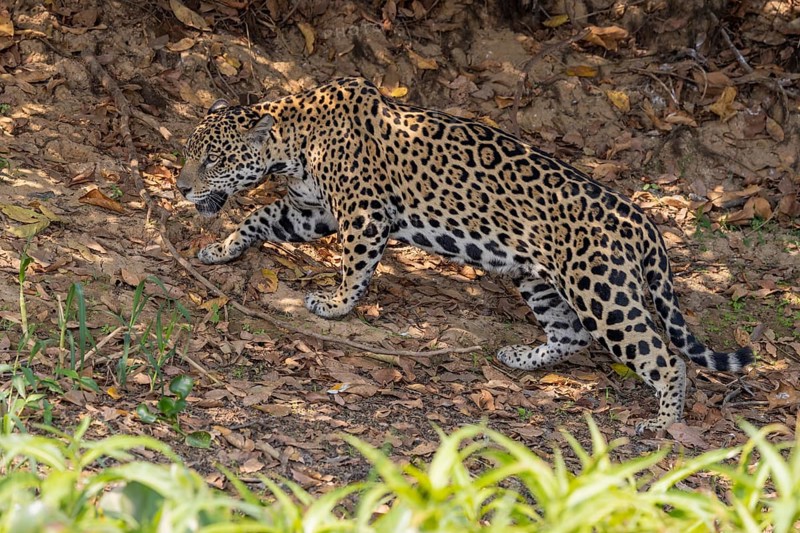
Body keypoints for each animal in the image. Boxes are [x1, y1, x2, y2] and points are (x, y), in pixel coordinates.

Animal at [177, 77, 753, 432]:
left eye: (213, 160)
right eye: (190, 155)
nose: (181, 188)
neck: (292, 142)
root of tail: (643, 222)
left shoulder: (363, 213)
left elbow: (355, 264)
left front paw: (336, 304)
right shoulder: (310, 212)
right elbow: (256, 218)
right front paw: (220, 249)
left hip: (603, 291)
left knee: (664, 356)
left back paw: (664, 422)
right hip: (537, 277)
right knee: (570, 333)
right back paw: (521, 358)